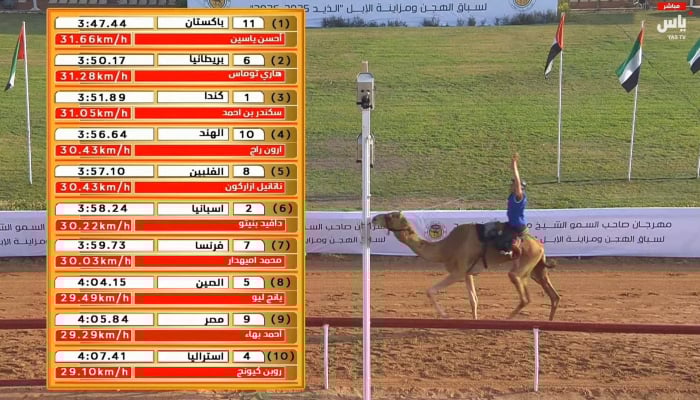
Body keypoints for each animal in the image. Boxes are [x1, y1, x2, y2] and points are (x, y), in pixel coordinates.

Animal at [371, 211, 561, 321]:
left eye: (390, 216)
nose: (373, 218)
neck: (445, 248)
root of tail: (539, 245)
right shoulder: (468, 273)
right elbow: (473, 300)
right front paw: (474, 320)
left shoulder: (458, 271)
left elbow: (430, 290)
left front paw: (445, 315)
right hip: (536, 267)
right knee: (554, 295)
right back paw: (550, 321)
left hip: (524, 264)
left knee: (525, 296)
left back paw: (507, 319)